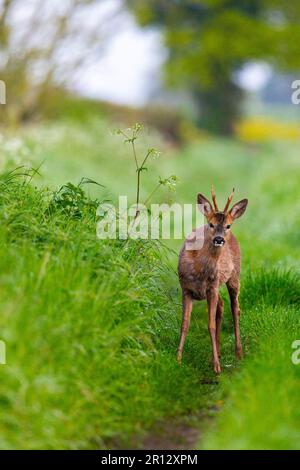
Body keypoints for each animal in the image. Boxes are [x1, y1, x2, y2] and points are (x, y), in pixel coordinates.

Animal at [177, 185, 247, 372]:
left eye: (228, 225)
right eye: (211, 224)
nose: (219, 239)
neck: (199, 270)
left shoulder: (212, 287)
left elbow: (211, 325)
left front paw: (217, 367)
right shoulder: (186, 289)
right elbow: (185, 324)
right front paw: (177, 359)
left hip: (234, 276)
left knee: (235, 308)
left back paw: (238, 352)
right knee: (222, 305)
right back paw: (218, 354)